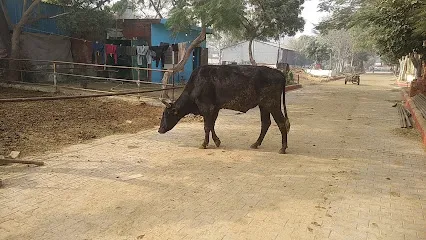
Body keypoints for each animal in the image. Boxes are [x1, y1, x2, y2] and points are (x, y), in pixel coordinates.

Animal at [158, 64, 292, 153]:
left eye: (166, 114)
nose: (160, 130)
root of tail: (279, 73)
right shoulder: (215, 108)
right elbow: (211, 125)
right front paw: (217, 141)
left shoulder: (207, 108)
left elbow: (207, 126)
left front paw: (204, 144)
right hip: (264, 105)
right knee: (266, 123)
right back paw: (256, 144)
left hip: (272, 104)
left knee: (281, 123)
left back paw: (283, 148)